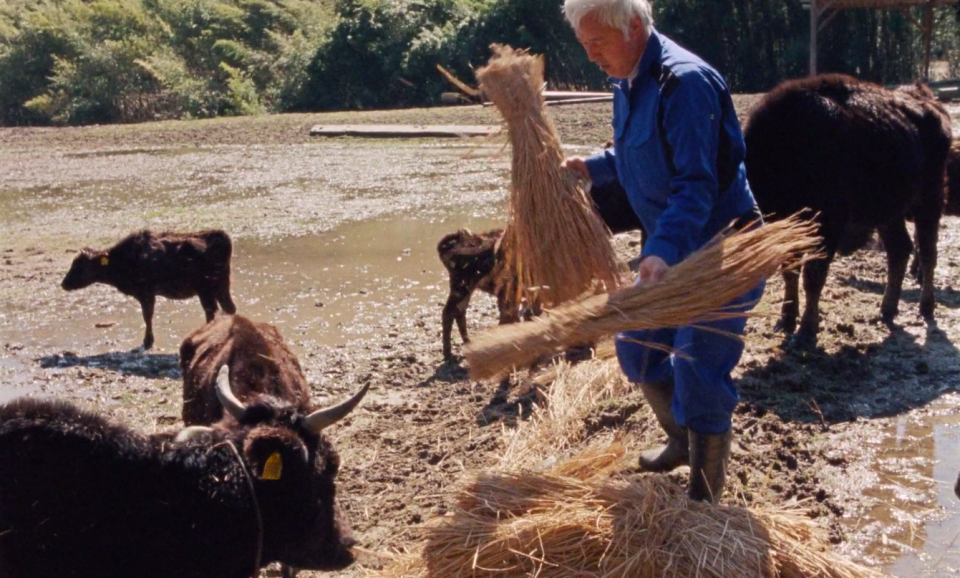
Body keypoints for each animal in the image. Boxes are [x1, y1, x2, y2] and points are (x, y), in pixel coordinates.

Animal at [61, 228, 237, 346]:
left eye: (80, 266)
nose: (63, 284)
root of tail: (217, 235)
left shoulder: (145, 293)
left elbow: (147, 315)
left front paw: (148, 340)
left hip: (206, 289)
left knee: (212, 311)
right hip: (221, 286)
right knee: (227, 308)